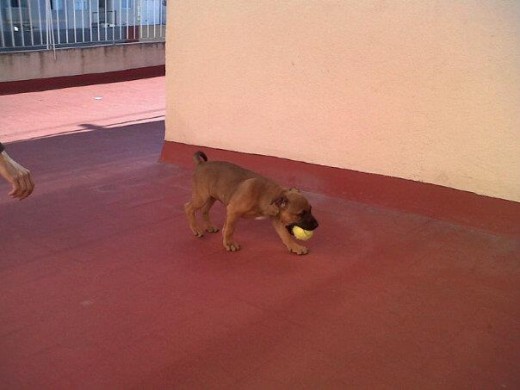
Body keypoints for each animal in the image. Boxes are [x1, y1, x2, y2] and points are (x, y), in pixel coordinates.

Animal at [185, 151, 318, 254]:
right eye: (300, 214)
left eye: (311, 210)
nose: (317, 225)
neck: (264, 195)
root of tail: (201, 164)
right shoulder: (233, 211)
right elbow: (230, 229)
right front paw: (229, 243)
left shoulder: (276, 220)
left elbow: (285, 235)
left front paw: (295, 247)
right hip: (201, 197)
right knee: (188, 208)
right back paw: (196, 229)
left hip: (211, 196)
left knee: (204, 210)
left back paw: (209, 227)